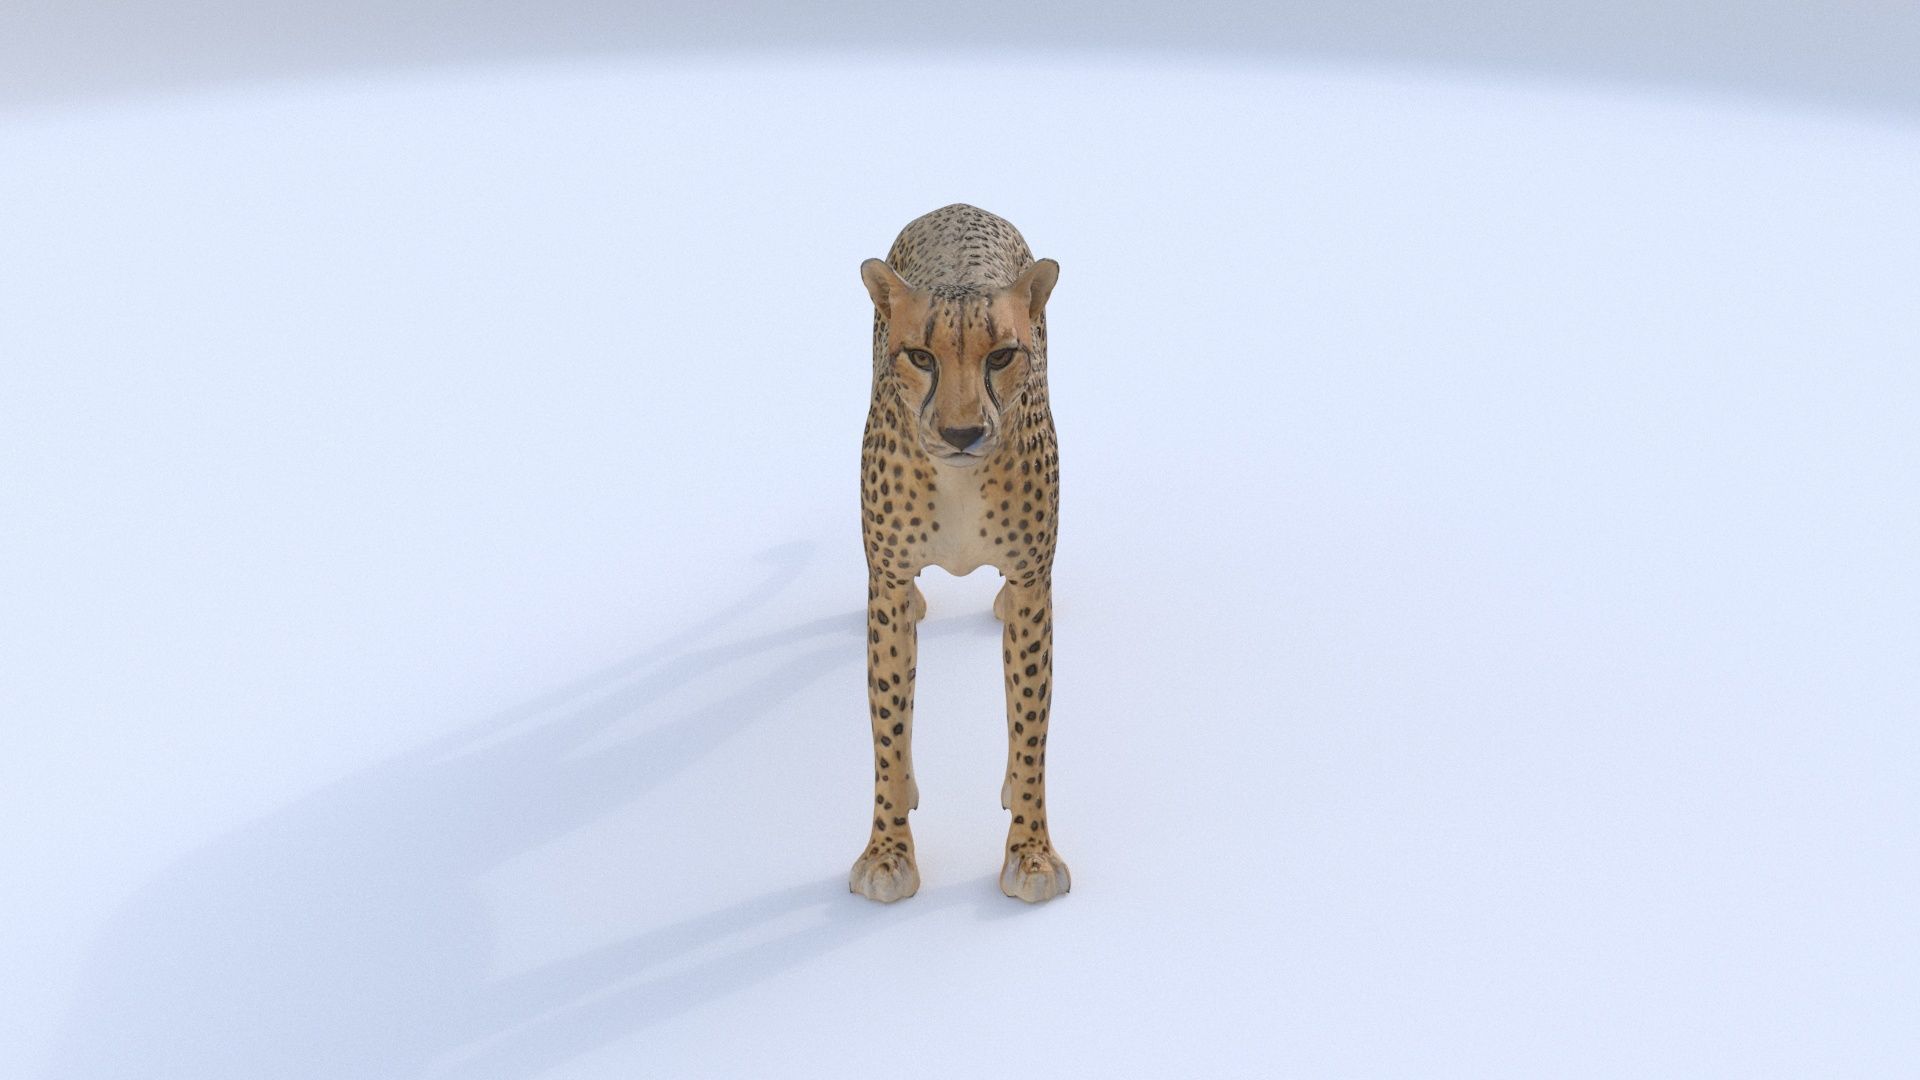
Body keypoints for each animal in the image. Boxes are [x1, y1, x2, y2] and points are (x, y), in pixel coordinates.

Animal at [848, 203, 1068, 904]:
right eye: (920, 355)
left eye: (1001, 355)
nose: (963, 432)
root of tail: (958, 207)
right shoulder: (888, 585)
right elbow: (890, 726)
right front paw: (888, 852)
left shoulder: (1031, 584)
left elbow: (1029, 726)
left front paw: (1030, 853)